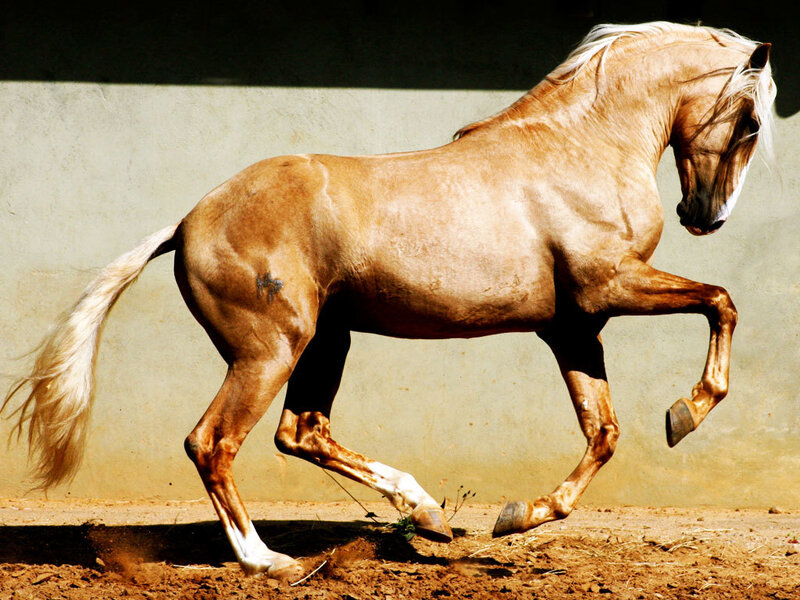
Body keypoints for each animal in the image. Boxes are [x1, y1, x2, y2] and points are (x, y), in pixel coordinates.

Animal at [3, 22, 776, 579]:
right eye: (752, 122)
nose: (705, 216)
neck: (578, 150)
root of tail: (189, 221)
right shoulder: (610, 285)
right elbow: (722, 301)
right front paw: (687, 412)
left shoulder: (574, 326)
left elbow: (604, 433)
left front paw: (519, 514)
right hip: (269, 351)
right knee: (214, 442)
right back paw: (268, 561)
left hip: (325, 340)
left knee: (301, 432)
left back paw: (427, 513)